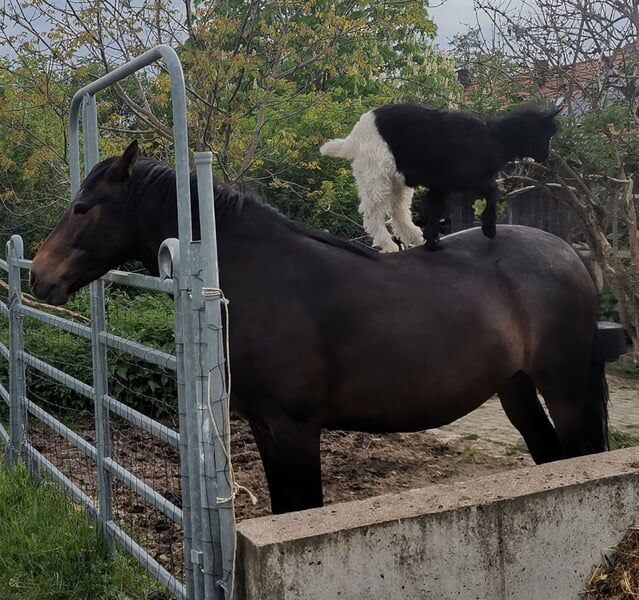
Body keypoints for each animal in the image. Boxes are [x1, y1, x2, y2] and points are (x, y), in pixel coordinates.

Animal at [31, 143, 608, 512]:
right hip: (515, 388)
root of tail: (569, 254)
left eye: (83, 207)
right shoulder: (264, 427)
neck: (258, 279)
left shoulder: (296, 430)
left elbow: (305, 508)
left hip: (564, 388)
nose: (39, 275)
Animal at [320, 103, 560, 251]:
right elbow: (493, 193)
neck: (494, 138)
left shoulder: (440, 185)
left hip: (397, 180)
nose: (546, 156)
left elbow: (435, 209)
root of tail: (355, 135)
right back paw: (389, 245)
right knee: (373, 212)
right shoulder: (469, 180)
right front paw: (489, 230)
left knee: (398, 210)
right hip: (376, 174)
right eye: (546, 134)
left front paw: (430, 242)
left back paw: (413, 237)